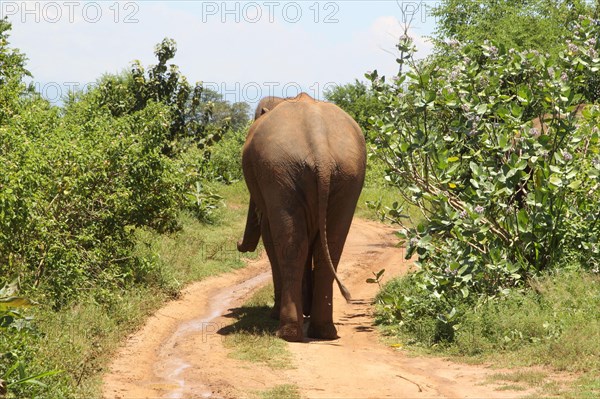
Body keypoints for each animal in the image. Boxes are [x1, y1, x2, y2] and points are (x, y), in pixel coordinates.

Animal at [238, 92, 368, 342]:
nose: (238, 243)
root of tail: (321, 150)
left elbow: (270, 236)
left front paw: (275, 314)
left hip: (280, 172)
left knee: (291, 246)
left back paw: (288, 332)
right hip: (347, 175)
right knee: (330, 246)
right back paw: (324, 331)